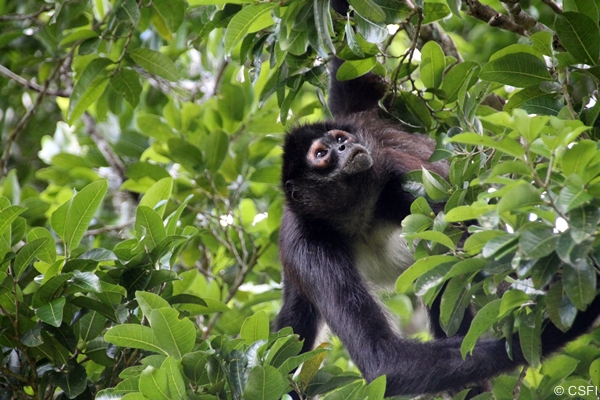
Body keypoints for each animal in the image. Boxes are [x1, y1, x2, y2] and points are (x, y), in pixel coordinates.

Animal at [274, 54, 600, 396]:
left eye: (339, 140)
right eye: (321, 154)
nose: (343, 148)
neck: (356, 217)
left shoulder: (402, 182)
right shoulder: (306, 243)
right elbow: (384, 359)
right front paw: (555, 331)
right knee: (295, 323)